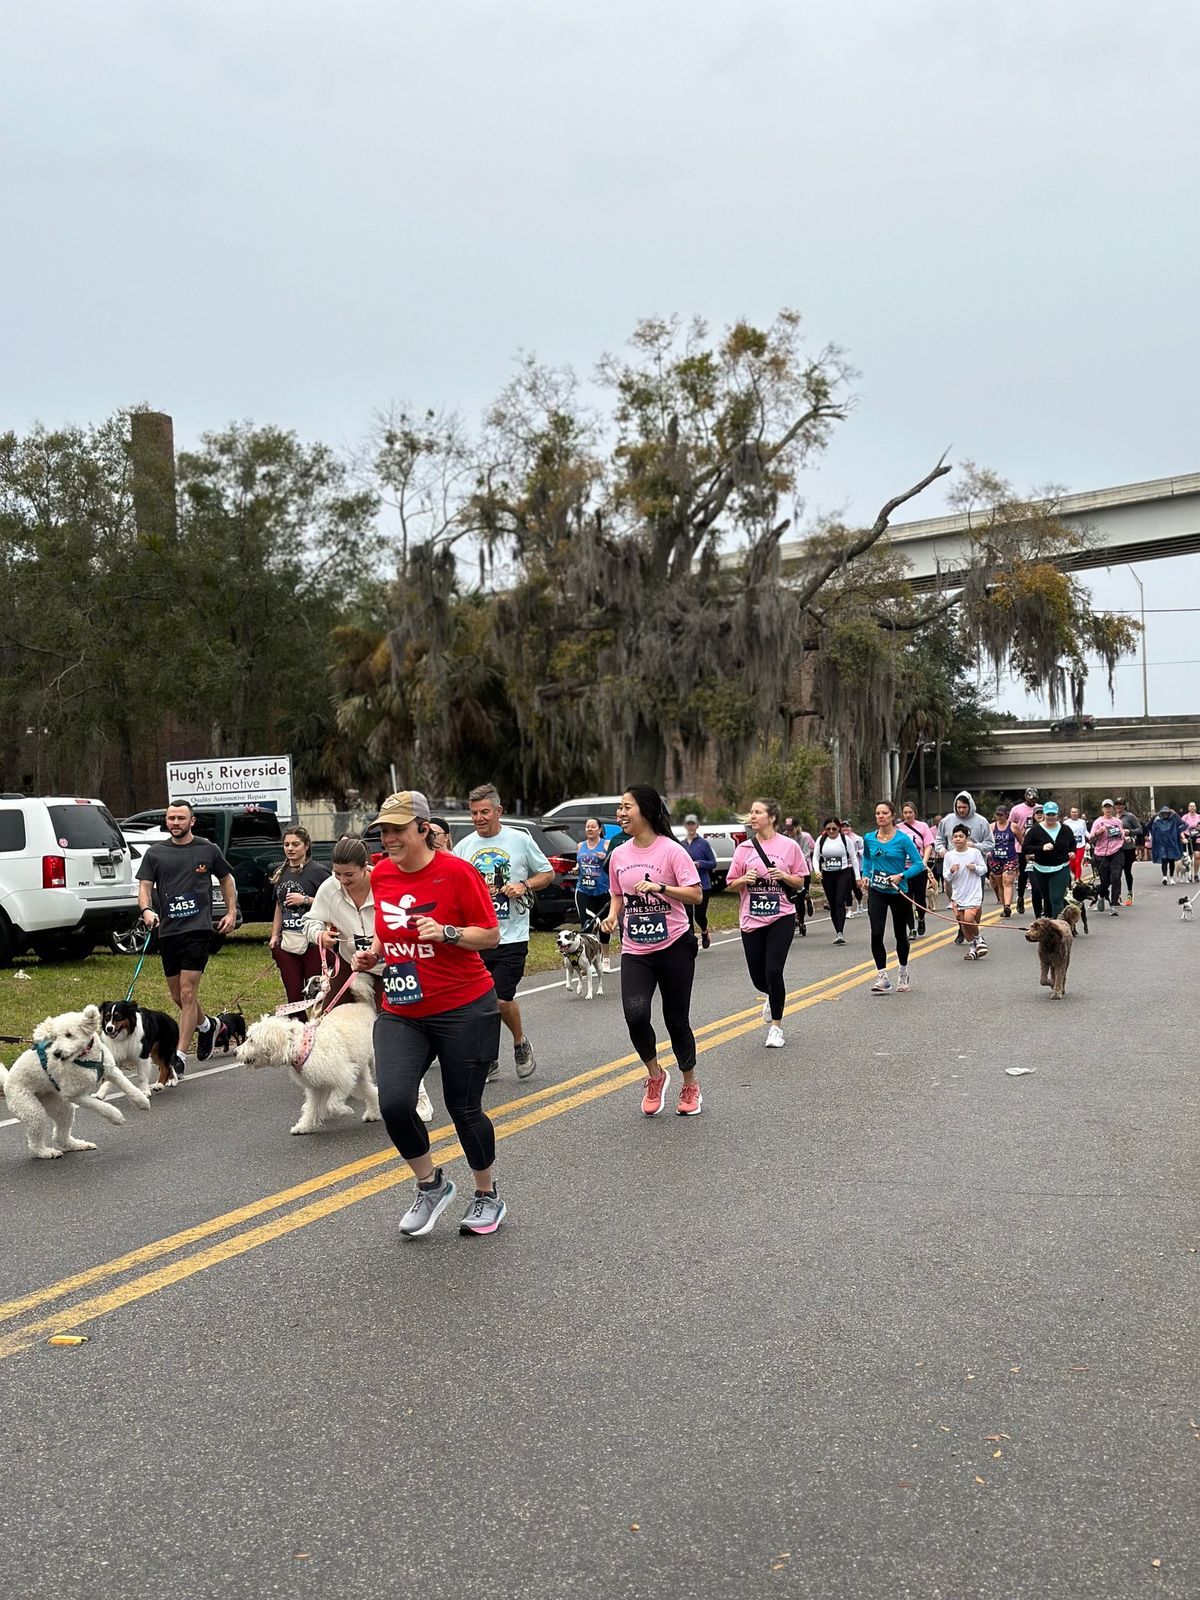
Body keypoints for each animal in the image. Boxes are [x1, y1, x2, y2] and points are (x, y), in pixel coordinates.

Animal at [0, 998, 153, 1164]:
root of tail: (7, 1081)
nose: (56, 1053)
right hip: (31, 1109)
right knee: (35, 1141)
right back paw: (46, 1152)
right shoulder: (74, 1095)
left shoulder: (110, 1069)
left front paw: (142, 1101)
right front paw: (115, 1117)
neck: (85, 1057)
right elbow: (99, 1105)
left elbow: (127, 1085)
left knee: (60, 1135)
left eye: (69, 1034)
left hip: (57, 1104)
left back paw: (78, 1145)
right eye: (54, 1037)